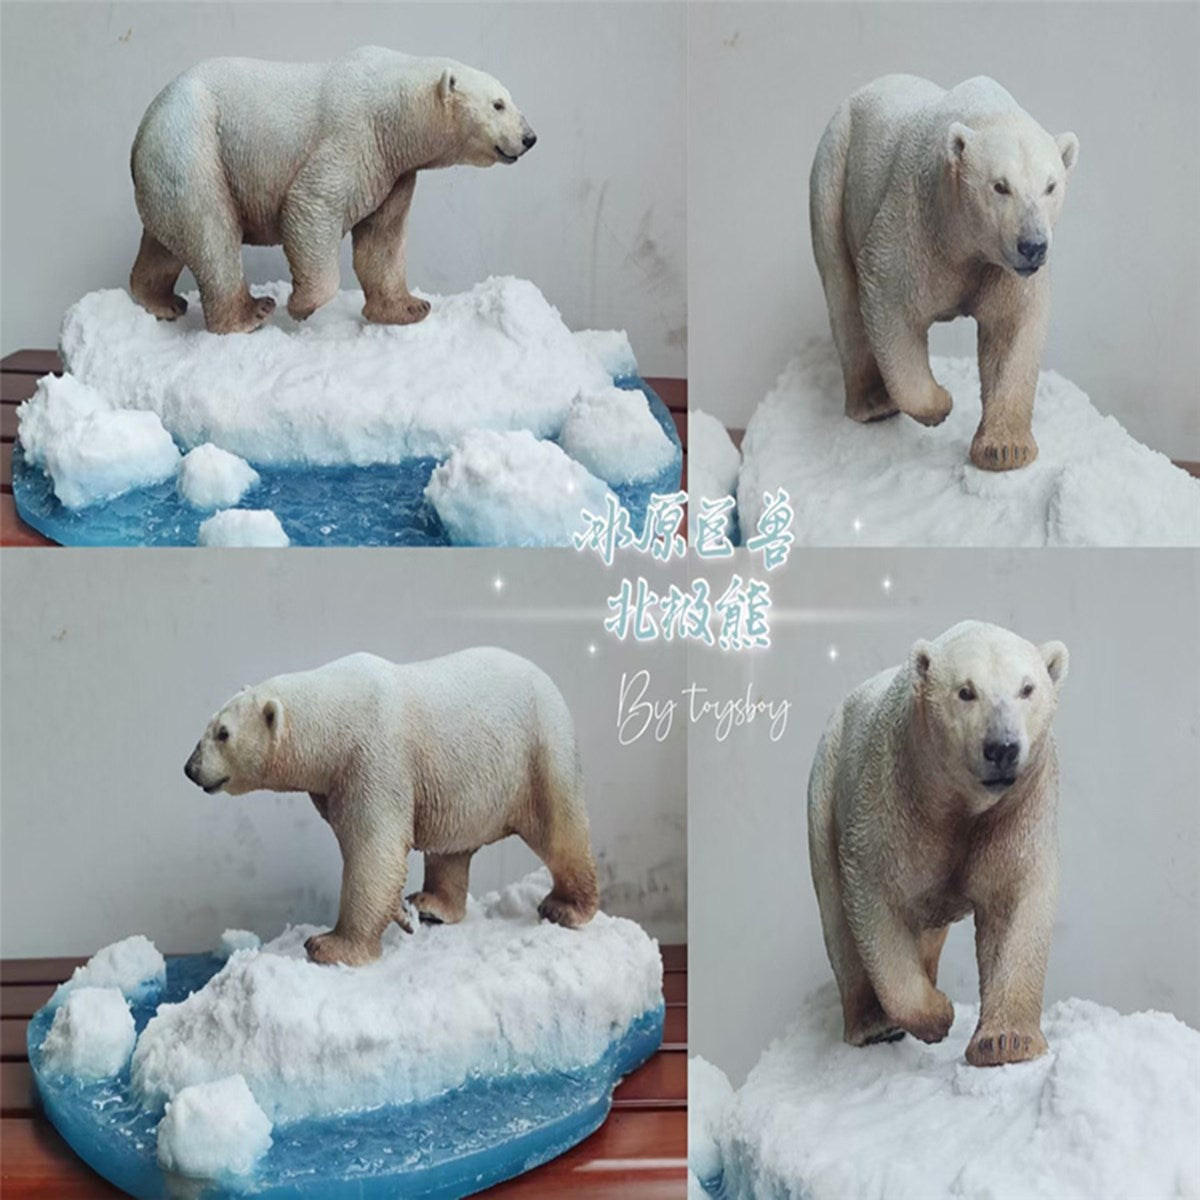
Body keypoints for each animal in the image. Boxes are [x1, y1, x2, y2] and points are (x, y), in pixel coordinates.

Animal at [130, 47, 536, 334]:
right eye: (498, 104)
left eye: (509, 98)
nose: (529, 137)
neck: (396, 114)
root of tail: (147, 119)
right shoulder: (356, 136)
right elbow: (312, 204)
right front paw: (301, 305)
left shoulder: (392, 171)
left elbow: (383, 239)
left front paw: (409, 308)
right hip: (192, 142)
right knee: (212, 232)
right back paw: (250, 313)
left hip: (168, 163)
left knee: (168, 239)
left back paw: (160, 302)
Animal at [183, 647, 599, 966]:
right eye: (209, 725)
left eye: (223, 734)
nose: (190, 768)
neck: (337, 715)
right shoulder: (334, 784)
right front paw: (402, 913)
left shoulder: (373, 760)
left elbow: (373, 851)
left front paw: (328, 945)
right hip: (462, 783)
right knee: (450, 850)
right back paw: (430, 904)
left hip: (539, 750)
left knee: (559, 827)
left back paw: (566, 908)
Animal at [807, 620, 1068, 1066]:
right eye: (966, 691)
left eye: (1027, 688)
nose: (1002, 748)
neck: (957, 803)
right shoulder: (892, 800)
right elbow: (876, 900)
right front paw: (938, 1014)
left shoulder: (1019, 807)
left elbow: (1014, 900)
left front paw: (1005, 1041)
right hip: (825, 789)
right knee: (837, 918)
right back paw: (873, 1025)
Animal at [810, 75, 1079, 470]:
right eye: (1000, 186)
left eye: (1050, 186)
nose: (1032, 246)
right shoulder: (916, 224)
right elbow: (889, 301)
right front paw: (940, 404)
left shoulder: (1003, 269)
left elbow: (1012, 329)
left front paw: (1005, 449)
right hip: (834, 169)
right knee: (841, 288)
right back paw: (874, 404)